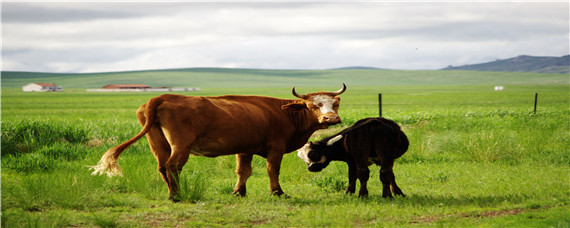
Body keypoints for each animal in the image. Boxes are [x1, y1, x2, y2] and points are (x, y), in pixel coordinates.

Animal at [91, 84, 344, 201]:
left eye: (336, 103)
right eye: (312, 105)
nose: (331, 119)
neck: (283, 112)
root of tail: (162, 96)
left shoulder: (245, 148)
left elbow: (243, 171)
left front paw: (239, 192)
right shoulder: (276, 147)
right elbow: (273, 170)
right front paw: (278, 192)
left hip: (158, 144)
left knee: (162, 167)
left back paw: (172, 192)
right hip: (181, 145)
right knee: (173, 166)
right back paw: (176, 195)